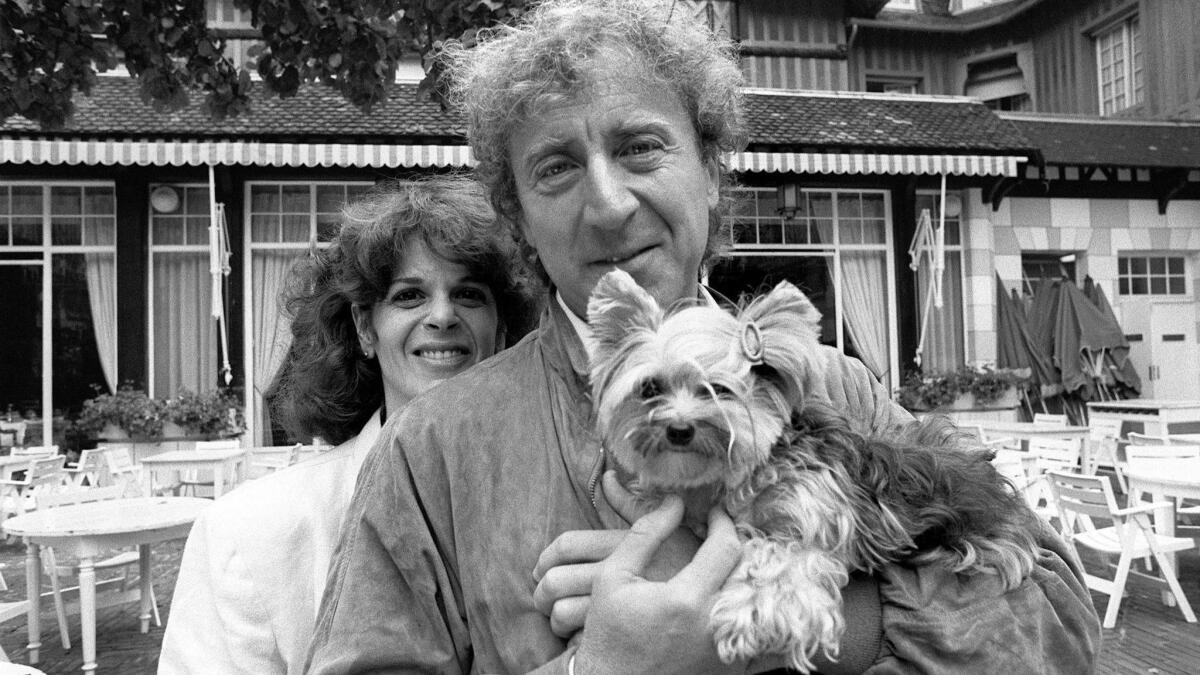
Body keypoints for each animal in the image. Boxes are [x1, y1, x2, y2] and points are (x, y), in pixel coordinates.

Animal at [585, 267, 1036, 667]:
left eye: (721, 390)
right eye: (649, 387)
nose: (678, 429)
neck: (749, 470)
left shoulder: (816, 518)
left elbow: (779, 555)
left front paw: (754, 611)